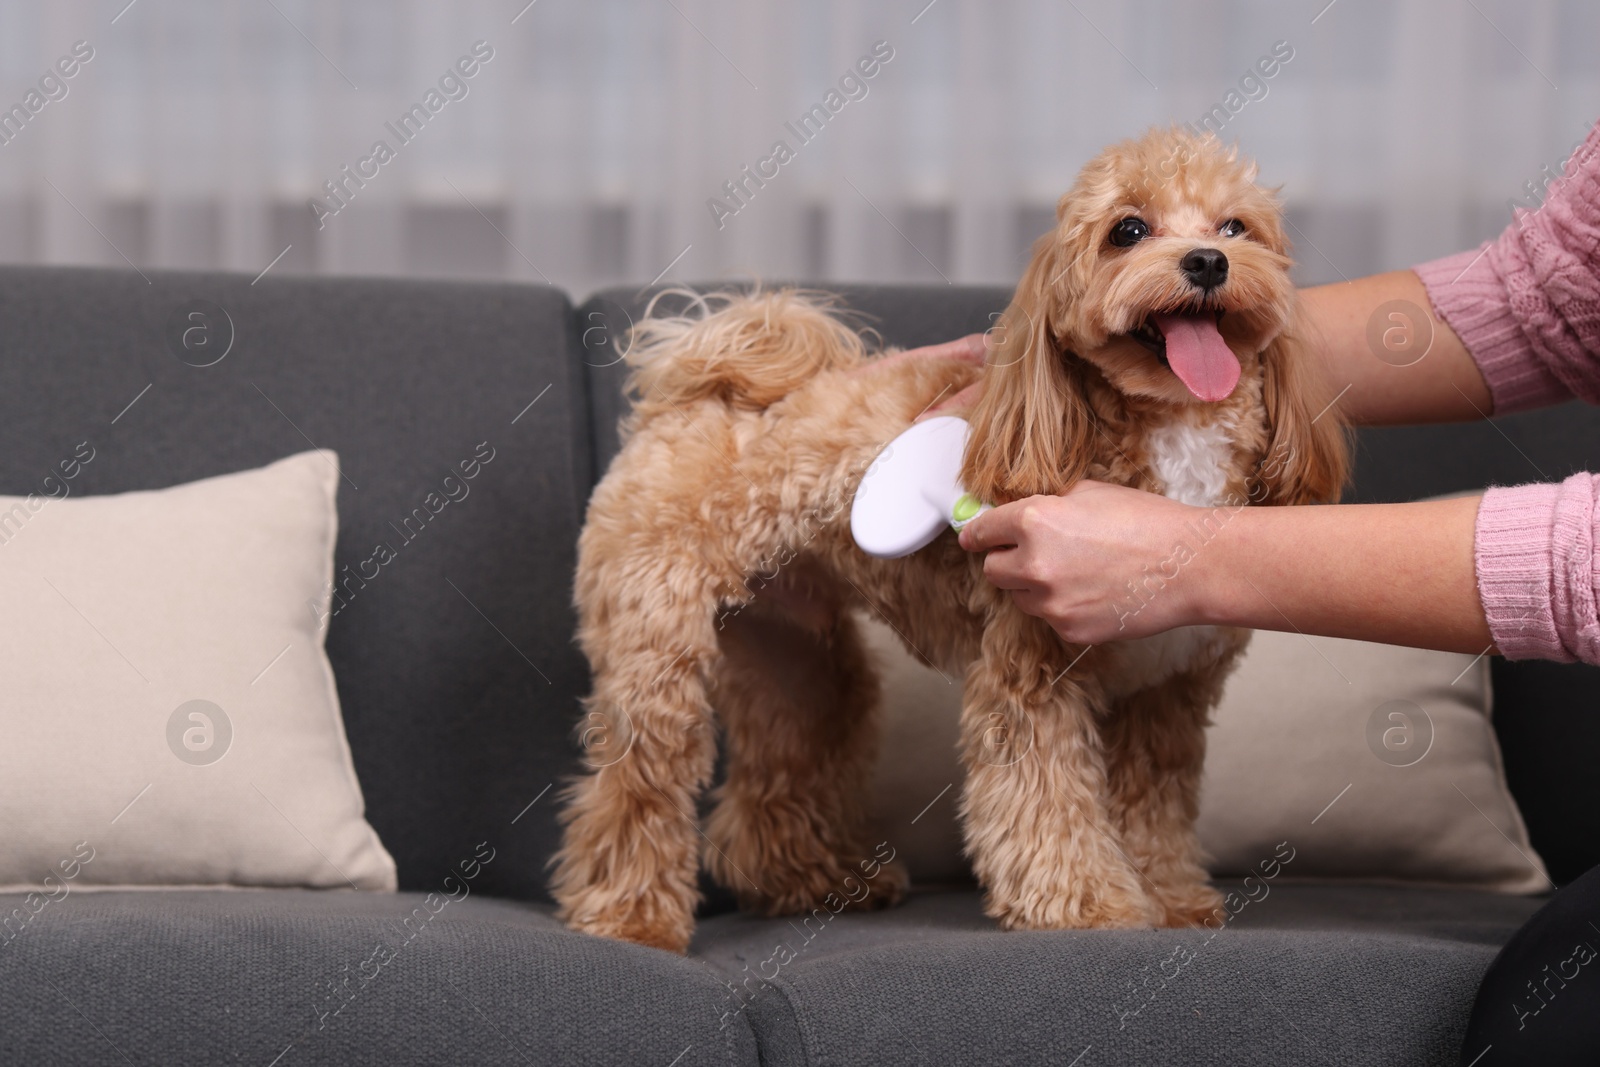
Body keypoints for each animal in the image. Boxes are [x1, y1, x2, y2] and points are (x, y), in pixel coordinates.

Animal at [556, 125, 1344, 953]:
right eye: (1128, 230)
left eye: (1236, 228)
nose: (1208, 262)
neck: (1169, 434)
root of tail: (699, 389)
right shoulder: (1030, 676)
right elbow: (1046, 800)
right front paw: (1086, 906)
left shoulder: (1166, 693)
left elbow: (1154, 807)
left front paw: (1168, 896)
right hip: (657, 655)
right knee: (635, 788)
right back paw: (629, 914)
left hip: (796, 659)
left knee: (782, 768)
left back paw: (812, 879)